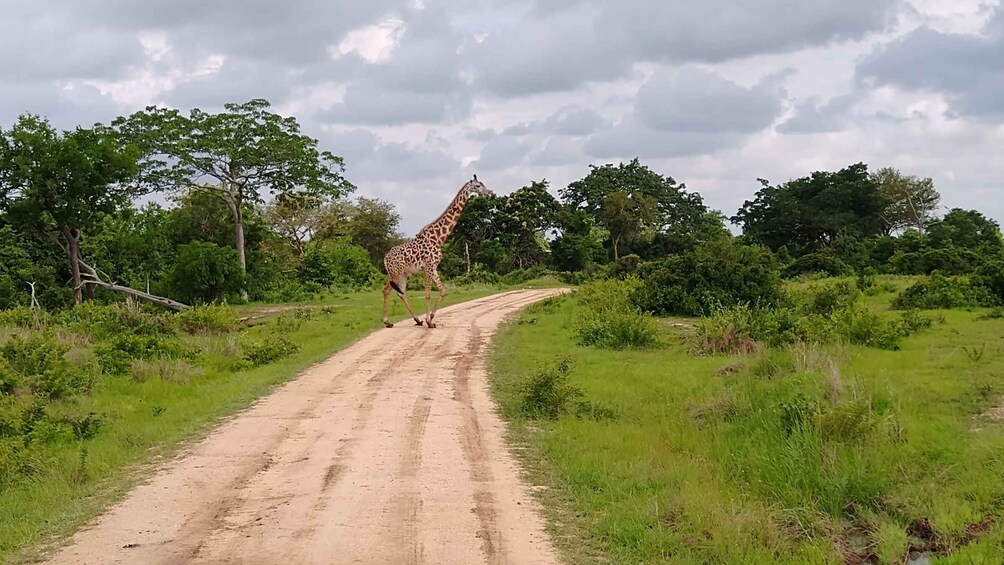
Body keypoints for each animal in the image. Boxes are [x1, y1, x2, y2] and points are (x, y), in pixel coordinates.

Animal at [381, 174, 491, 329]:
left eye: (482, 184)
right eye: (477, 186)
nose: (489, 193)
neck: (439, 238)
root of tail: (385, 258)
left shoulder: (433, 267)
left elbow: (442, 289)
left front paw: (431, 319)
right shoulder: (428, 266)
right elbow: (427, 293)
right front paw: (429, 321)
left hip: (402, 273)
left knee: (400, 293)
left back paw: (416, 320)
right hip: (396, 273)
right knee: (387, 291)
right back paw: (387, 322)